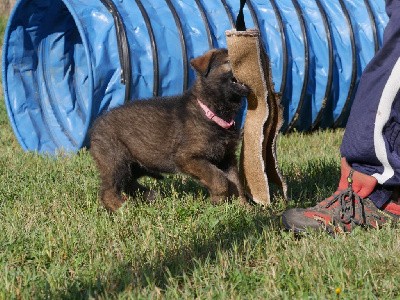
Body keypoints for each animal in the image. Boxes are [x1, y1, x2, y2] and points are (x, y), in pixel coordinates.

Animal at [90, 48, 250, 211]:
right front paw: (219, 197)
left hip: (135, 164)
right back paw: (123, 208)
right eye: (228, 61)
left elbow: (236, 182)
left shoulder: (227, 157)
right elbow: (218, 178)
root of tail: (96, 124)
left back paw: (148, 196)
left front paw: (243, 207)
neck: (212, 112)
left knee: (128, 183)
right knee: (109, 190)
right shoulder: (186, 158)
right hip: (116, 160)